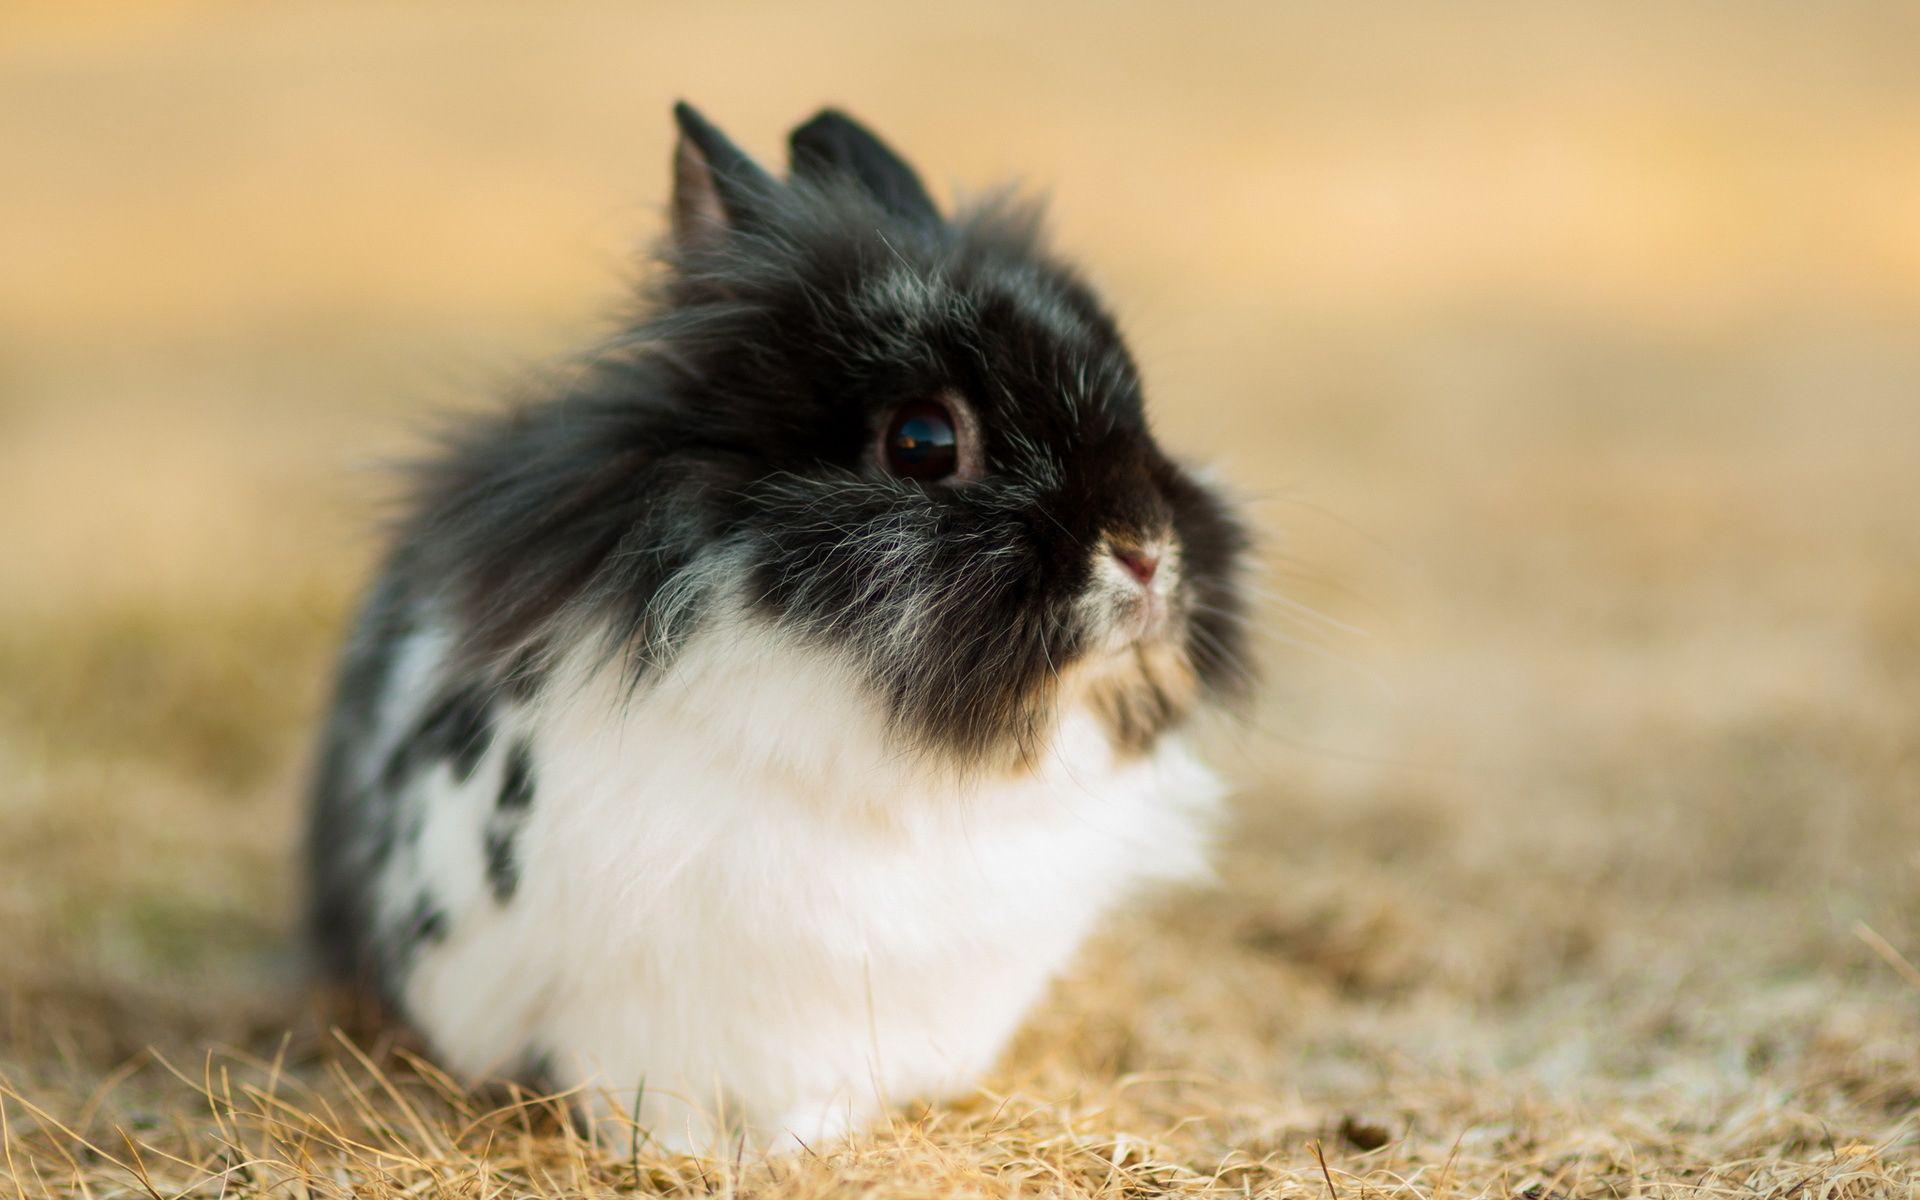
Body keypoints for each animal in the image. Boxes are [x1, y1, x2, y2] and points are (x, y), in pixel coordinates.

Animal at [306, 102, 1252, 1154]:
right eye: (922, 442)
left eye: (1140, 403)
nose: (1148, 551)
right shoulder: (622, 1008)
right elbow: (643, 1098)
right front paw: (685, 1157)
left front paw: (806, 1148)